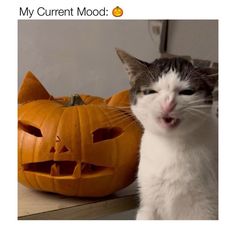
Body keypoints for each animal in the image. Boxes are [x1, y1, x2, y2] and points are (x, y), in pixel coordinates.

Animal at [116, 48, 218, 219]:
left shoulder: (206, 207)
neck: (170, 145)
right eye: (150, 91)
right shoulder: (148, 203)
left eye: (187, 92)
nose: (167, 104)